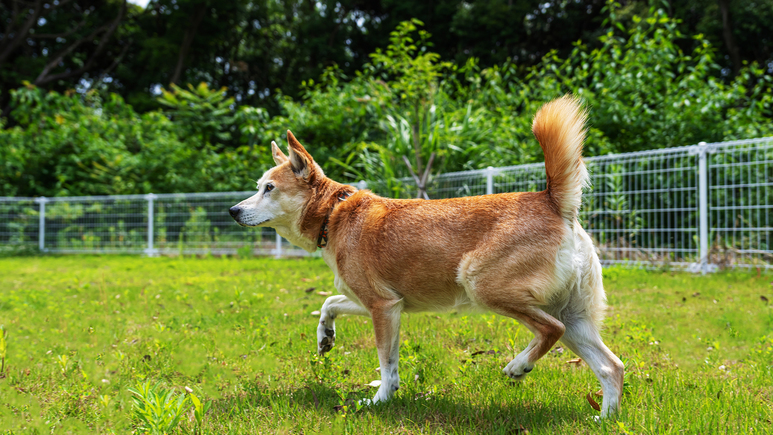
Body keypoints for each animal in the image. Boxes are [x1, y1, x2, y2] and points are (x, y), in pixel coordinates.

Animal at [228, 97, 620, 418]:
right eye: (258, 187)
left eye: (269, 188)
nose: (233, 210)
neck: (334, 213)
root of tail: (552, 200)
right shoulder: (385, 302)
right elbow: (330, 303)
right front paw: (325, 336)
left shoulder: (383, 308)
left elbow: (387, 365)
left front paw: (379, 401)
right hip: (573, 315)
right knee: (611, 366)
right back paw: (604, 419)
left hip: (483, 285)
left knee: (552, 329)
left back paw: (519, 366)